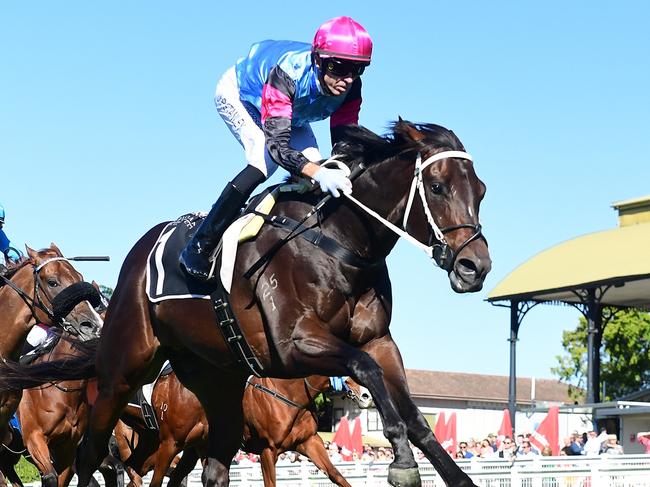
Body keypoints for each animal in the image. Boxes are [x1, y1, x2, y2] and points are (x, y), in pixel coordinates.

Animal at [0, 246, 102, 487]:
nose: (94, 326)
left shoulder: (68, 447)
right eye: (53, 282)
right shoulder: (34, 437)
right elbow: (49, 477)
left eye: (79, 277)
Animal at [118, 374, 368, 487]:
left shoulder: (309, 441)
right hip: (169, 442)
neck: (288, 393)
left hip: (169, 443)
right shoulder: (268, 450)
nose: (366, 395)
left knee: (138, 467)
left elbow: (336, 475)